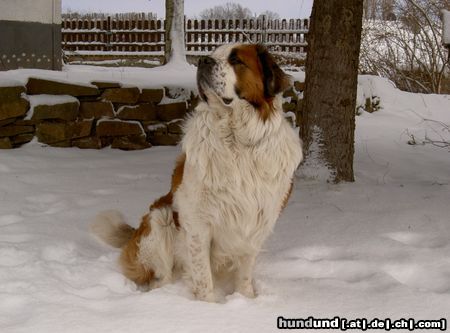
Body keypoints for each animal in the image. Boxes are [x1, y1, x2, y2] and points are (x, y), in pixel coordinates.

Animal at [91, 43, 302, 300]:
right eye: (213, 52)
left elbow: (244, 273)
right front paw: (207, 306)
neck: (237, 141)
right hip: (160, 218)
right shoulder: (197, 221)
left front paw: (245, 299)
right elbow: (203, 276)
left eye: (236, 60)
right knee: (160, 277)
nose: (203, 60)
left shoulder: (256, 222)